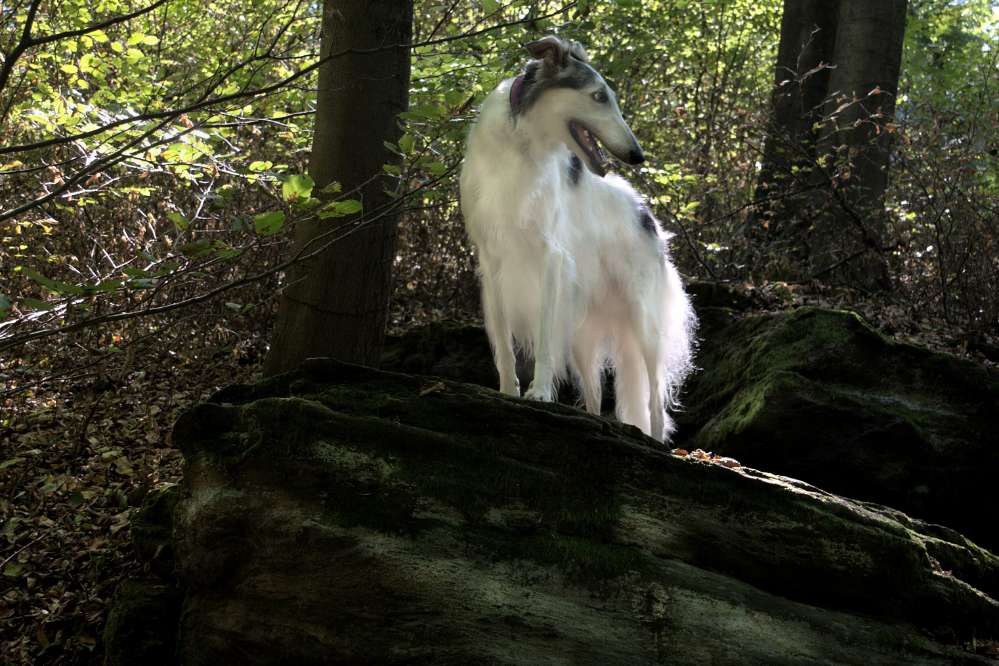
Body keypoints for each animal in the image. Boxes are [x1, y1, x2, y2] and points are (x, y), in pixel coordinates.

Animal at [460, 35, 696, 440]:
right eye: (598, 96)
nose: (637, 155)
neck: (519, 144)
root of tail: (647, 215)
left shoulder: (551, 258)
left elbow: (542, 342)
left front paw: (539, 392)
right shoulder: (491, 263)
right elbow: (504, 346)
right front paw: (508, 392)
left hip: (644, 325)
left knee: (654, 401)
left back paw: (655, 441)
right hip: (581, 335)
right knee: (595, 394)